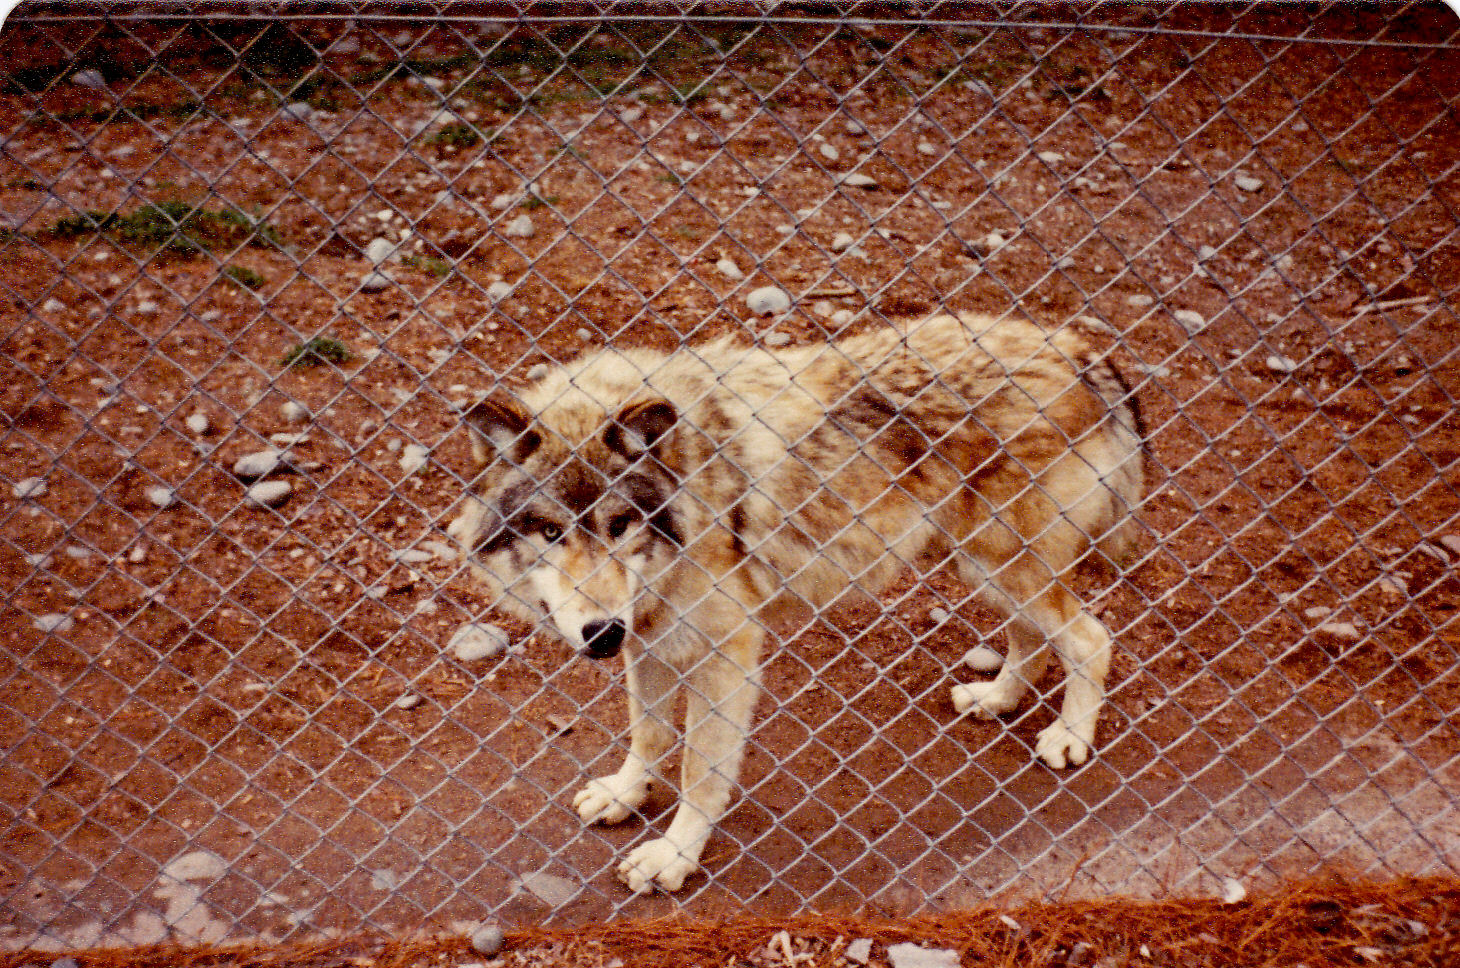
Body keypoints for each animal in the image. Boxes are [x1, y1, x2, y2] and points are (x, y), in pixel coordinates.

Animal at [452, 312, 1144, 893]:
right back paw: (997, 700)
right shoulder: (649, 639)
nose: (601, 634)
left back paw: (1068, 737)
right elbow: (647, 733)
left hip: (999, 566)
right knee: (1035, 640)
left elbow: (699, 772)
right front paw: (625, 795)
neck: (691, 484)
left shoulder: (725, 653)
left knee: (1091, 638)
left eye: (619, 525)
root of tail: (1076, 347)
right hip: (979, 568)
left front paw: (673, 856)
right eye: (550, 532)